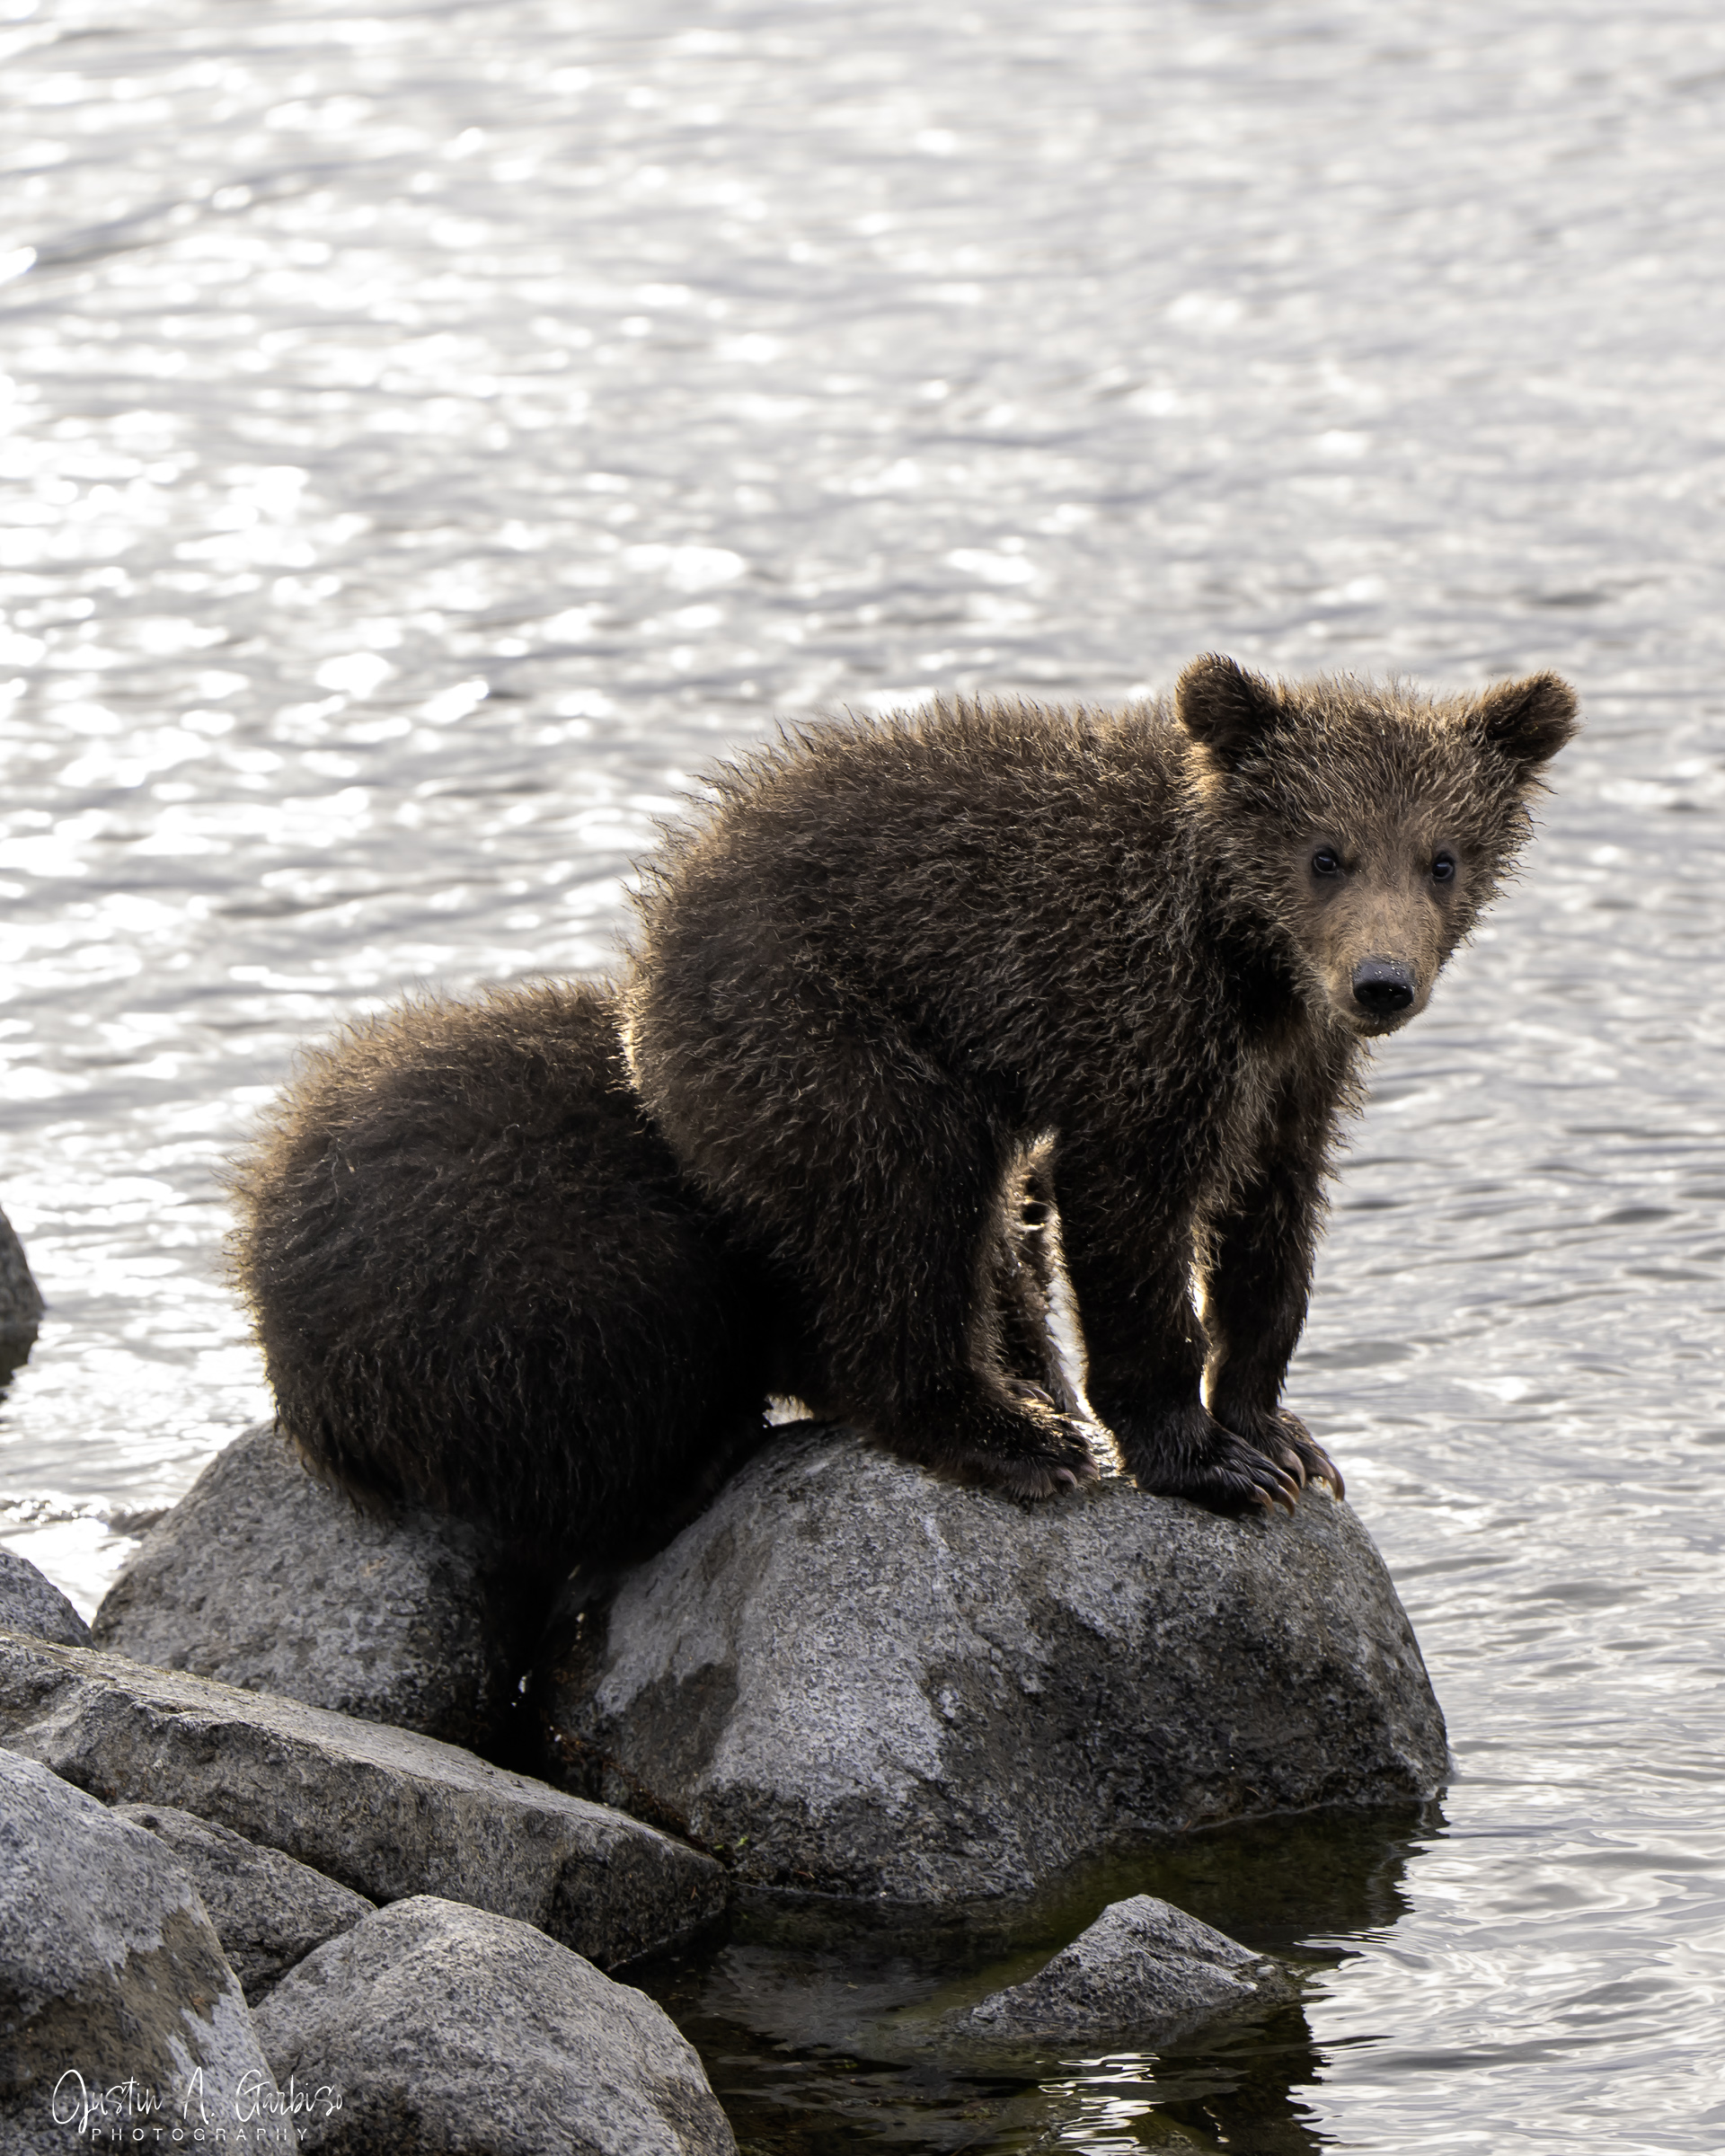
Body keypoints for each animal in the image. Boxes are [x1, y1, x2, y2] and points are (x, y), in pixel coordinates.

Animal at [624, 654, 1578, 1516]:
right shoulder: (1141, 1018)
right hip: (816, 1029)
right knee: (911, 1202)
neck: (1252, 961)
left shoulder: (1294, 1071)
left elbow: (1271, 1220)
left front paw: (1278, 1435)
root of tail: (655, 936)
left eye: (1441, 859)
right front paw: (1208, 1460)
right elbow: (1131, 1210)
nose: (1381, 983)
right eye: (1325, 855)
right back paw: (1012, 1435)